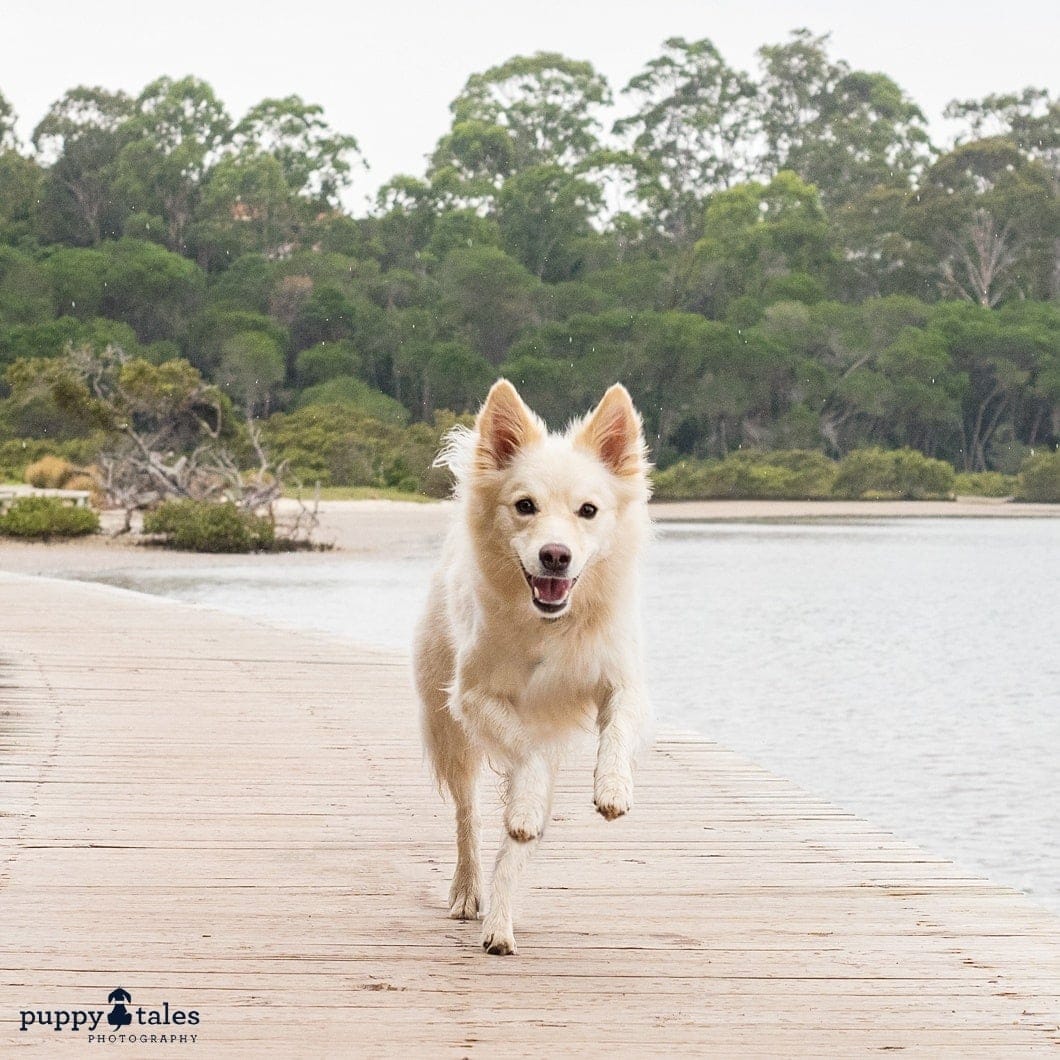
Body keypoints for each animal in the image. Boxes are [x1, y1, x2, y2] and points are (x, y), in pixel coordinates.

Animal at [415, 379, 652, 953]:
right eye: (525, 505)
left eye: (588, 511)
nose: (555, 555)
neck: (551, 626)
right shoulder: (475, 696)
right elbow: (528, 756)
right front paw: (524, 800)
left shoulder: (623, 681)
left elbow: (617, 729)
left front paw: (613, 789)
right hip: (449, 731)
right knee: (470, 817)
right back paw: (470, 891)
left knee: (513, 847)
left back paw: (499, 927)